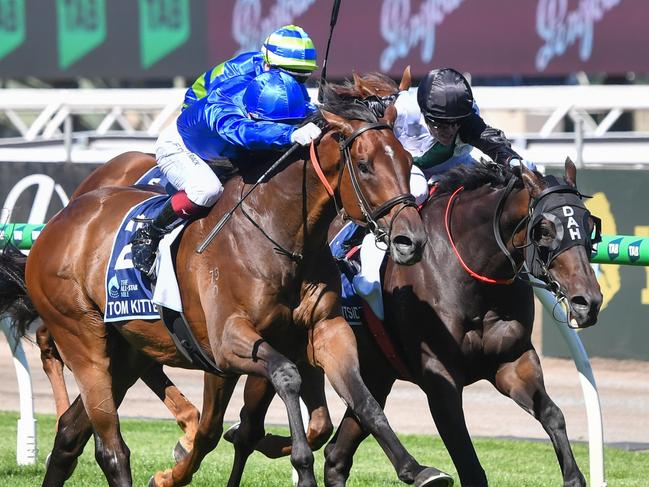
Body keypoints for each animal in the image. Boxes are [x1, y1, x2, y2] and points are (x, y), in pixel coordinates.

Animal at [1, 87, 456, 487]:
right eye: (364, 165)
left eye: (406, 160)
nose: (411, 240)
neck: (278, 233)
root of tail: (56, 224)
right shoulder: (228, 341)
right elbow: (285, 376)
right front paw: (300, 464)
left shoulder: (326, 329)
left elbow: (363, 401)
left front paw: (416, 469)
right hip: (82, 336)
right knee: (111, 448)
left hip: (127, 350)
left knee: (69, 434)